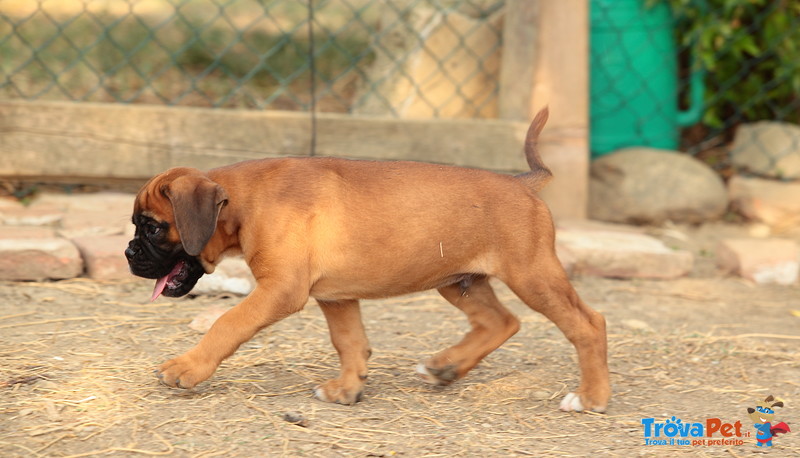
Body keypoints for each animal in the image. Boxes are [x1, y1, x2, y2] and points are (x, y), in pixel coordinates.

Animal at [125, 109, 608, 414]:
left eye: (152, 228)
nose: (129, 254)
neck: (245, 201)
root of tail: (523, 184)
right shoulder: (336, 298)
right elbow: (350, 342)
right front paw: (348, 388)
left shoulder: (280, 290)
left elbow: (229, 323)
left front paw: (186, 368)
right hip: (459, 281)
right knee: (501, 322)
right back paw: (445, 368)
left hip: (532, 275)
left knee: (589, 323)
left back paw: (591, 397)